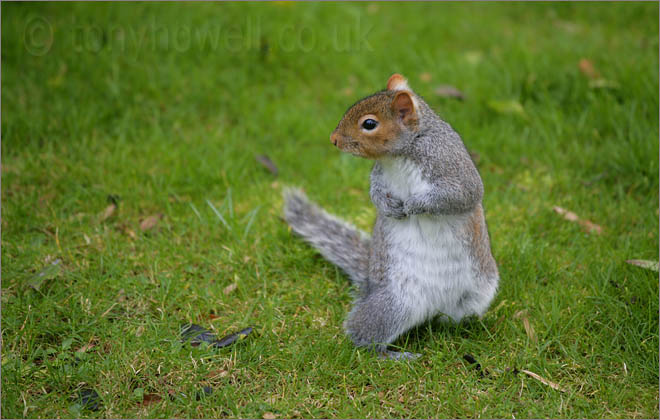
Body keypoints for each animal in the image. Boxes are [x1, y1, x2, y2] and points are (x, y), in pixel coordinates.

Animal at [282, 74, 498, 360]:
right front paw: (391, 208)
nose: (333, 139)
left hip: (477, 294)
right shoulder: (379, 175)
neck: (400, 154)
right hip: (393, 304)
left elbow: (463, 193)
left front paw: (415, 204)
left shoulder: (450, 164)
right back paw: (394, 355)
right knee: (363, 336)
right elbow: (375, 195)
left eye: (369, 124)